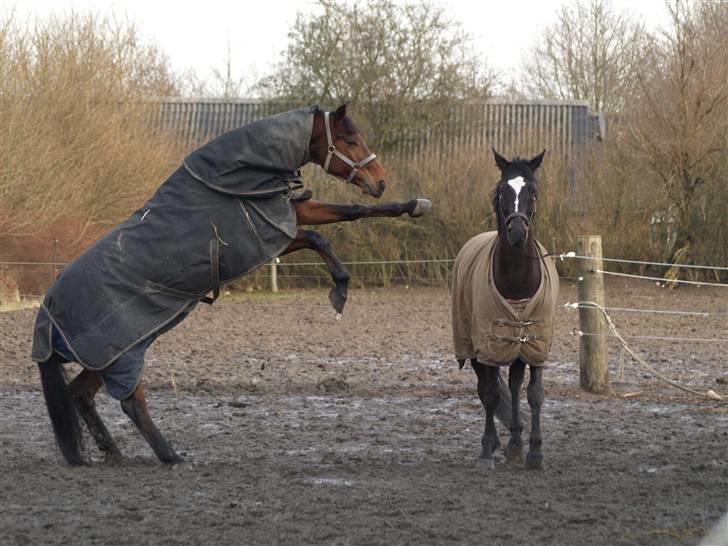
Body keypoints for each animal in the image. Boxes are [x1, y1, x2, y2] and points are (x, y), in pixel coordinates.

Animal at [32, 105, 432, 464]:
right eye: (350, 140)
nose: (380, 181)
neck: (234, 182)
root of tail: (48, 310)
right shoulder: (272, 233)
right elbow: (326, 232)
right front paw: (340, 289)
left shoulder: (289, 215)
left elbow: (345, 217)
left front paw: (414, 206)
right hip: (123, 351)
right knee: (131, 401)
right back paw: (172, 457)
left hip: (115, 353)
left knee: (81, 393)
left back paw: (114, 454)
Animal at [452, 148, 560, 468]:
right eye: (503, 190)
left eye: (533, 190)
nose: (516, 232)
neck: (517, 281)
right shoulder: (486, 345)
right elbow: (489, 394)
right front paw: (487, 448)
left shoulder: (536, 344)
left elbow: (534, 394)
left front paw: (534, 452)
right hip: (472, 346)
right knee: (485, 389)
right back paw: (499, 443)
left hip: (516, 347)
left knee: (513, 385)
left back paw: (514, 441)